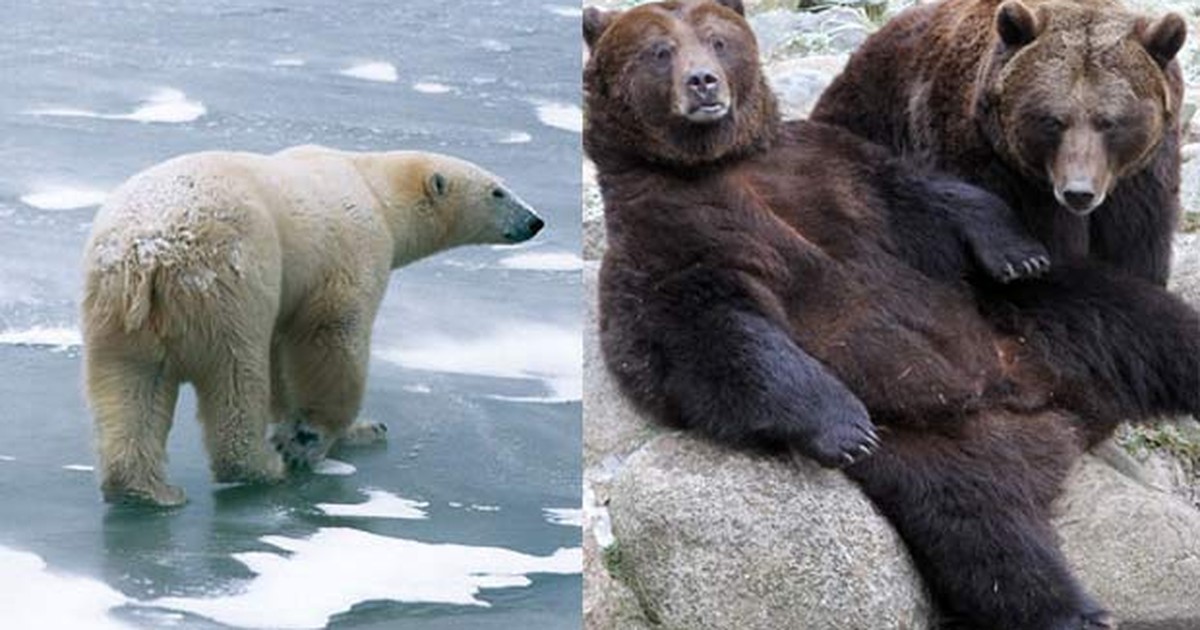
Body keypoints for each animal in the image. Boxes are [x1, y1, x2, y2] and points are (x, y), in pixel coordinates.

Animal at [82, 145, 544, 507]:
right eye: (498, 190)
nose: (535, 221)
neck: (374, 188)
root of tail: (149, 254)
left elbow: (282, 352)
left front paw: (317, 427)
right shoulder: (352, 249)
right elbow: (332, 335)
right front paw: (321, 437)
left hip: (117, 309)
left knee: (131, 385)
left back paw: (146, 490)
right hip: (227, 282)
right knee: (235, 374)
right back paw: (262, 467)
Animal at [811, 0, 1188, 286]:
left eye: (1109, 122)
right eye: (1053, 120)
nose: (1078, 192)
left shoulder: (1141, 182)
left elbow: (1137, 252)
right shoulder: (988, 162)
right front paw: (1026, 261)